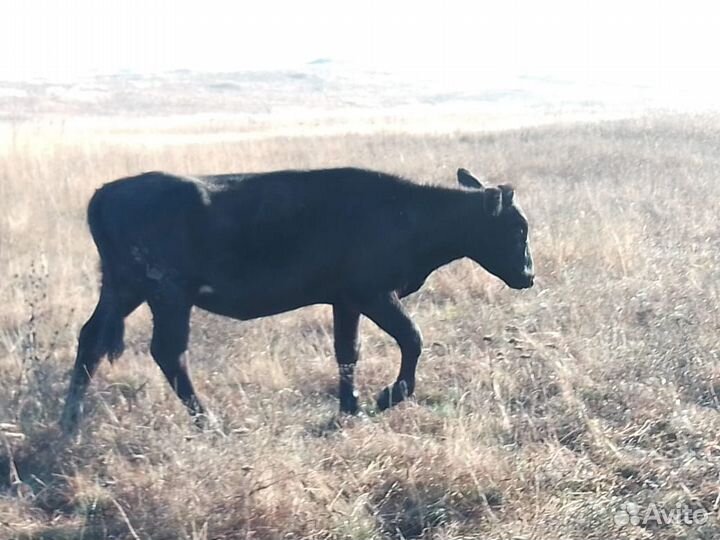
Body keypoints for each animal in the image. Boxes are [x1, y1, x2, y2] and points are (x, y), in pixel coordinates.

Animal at [60, 167, 534, 433]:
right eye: (517, 229)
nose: (528, 275)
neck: (410, 213)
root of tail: (106, 192)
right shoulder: (373, 294)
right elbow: (412, 338)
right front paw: (387, 397)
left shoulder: (346, 301)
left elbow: (347, 352)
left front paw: (352, 409)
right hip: (168, 296)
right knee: (168, 352)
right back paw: (209, 422)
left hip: (123, 290)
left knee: (91, 339)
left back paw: (70, 422)